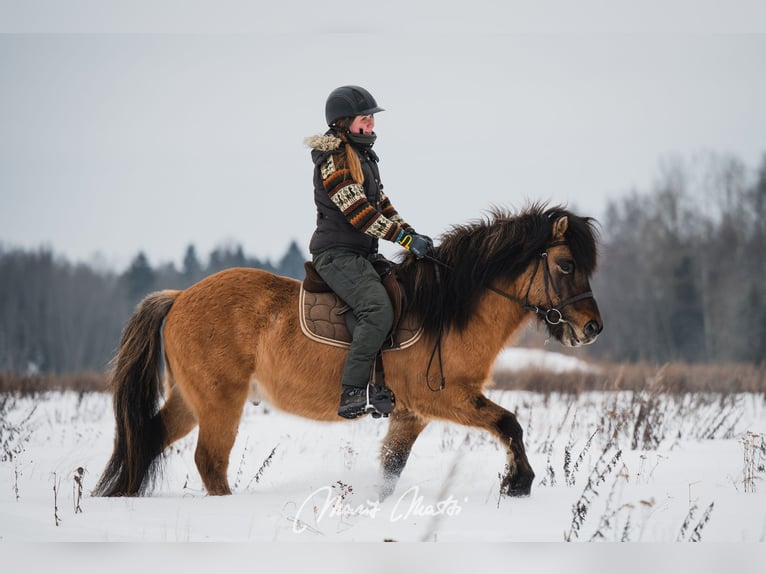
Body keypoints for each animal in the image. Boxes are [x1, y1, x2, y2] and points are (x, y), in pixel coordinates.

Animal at [93, 204, 602, 499]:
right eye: (565, 264)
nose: (592, 327)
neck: (445, 309)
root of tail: (179, 296)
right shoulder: (444, 397)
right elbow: (509, 423)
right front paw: (519, 482)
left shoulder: (410, 413)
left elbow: (392, 467)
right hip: (220, 402)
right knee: (209, 462)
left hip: (191, 398)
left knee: (149, 438)